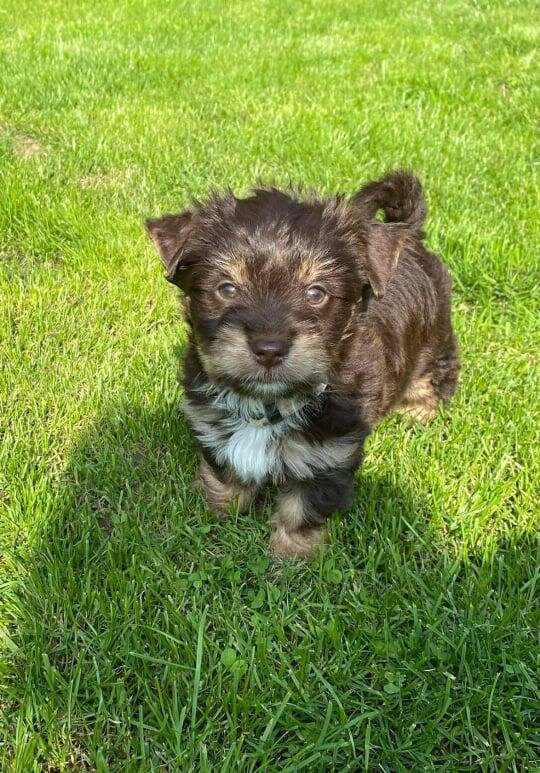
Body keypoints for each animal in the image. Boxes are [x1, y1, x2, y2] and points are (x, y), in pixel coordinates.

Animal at [146, 171, 459, 559]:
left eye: (316, 293)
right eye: (227, 288)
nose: (269, 348)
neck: (268, 404)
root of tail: (409, 233)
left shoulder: (328, 454)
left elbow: (303, 507)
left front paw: (291, 557)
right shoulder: (210, 423)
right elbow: (225, 473)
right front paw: (219, 510)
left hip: (437, 337)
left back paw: (419, 411)